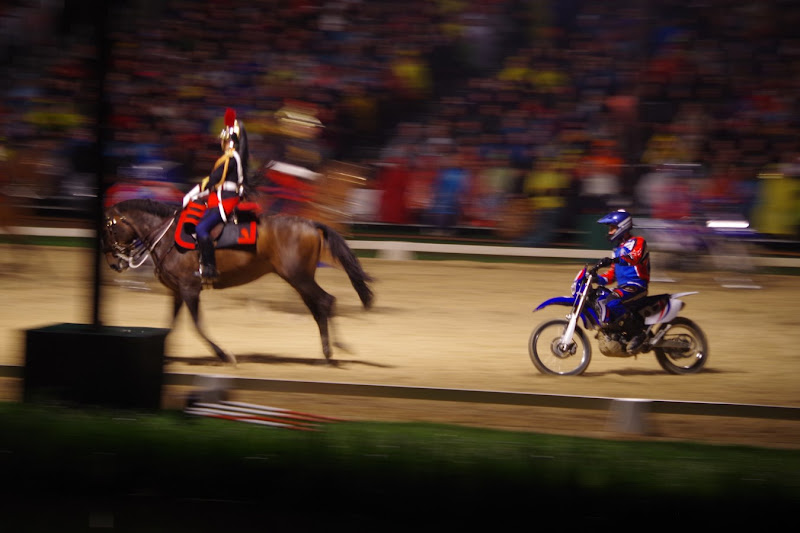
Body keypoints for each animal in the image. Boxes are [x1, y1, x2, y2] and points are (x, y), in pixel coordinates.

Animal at [101, 197, 374, 364]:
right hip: (298, 279)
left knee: (326, 301)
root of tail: (312, 224)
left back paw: (330, 352)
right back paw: (330, 349)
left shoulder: (190, 289)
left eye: (109, 228)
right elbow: (170, 325)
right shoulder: (177, 291)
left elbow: (197, 325)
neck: (168, 237)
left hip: (299, 277)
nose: (113, 262)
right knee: (318, 307)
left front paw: (223, 354)